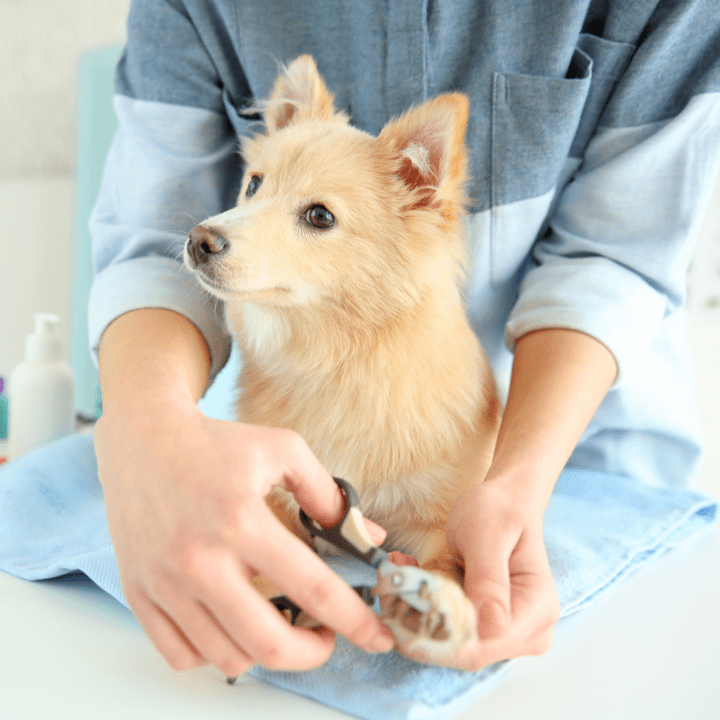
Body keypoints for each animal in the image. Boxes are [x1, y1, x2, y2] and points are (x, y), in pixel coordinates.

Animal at [186, 56, 500, 664]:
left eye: (319, 217)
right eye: (253, 184)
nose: (200, 239)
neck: (333, 363)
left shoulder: (437, 515)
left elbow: (447, 559)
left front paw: (440, 604)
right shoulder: (282, 496)